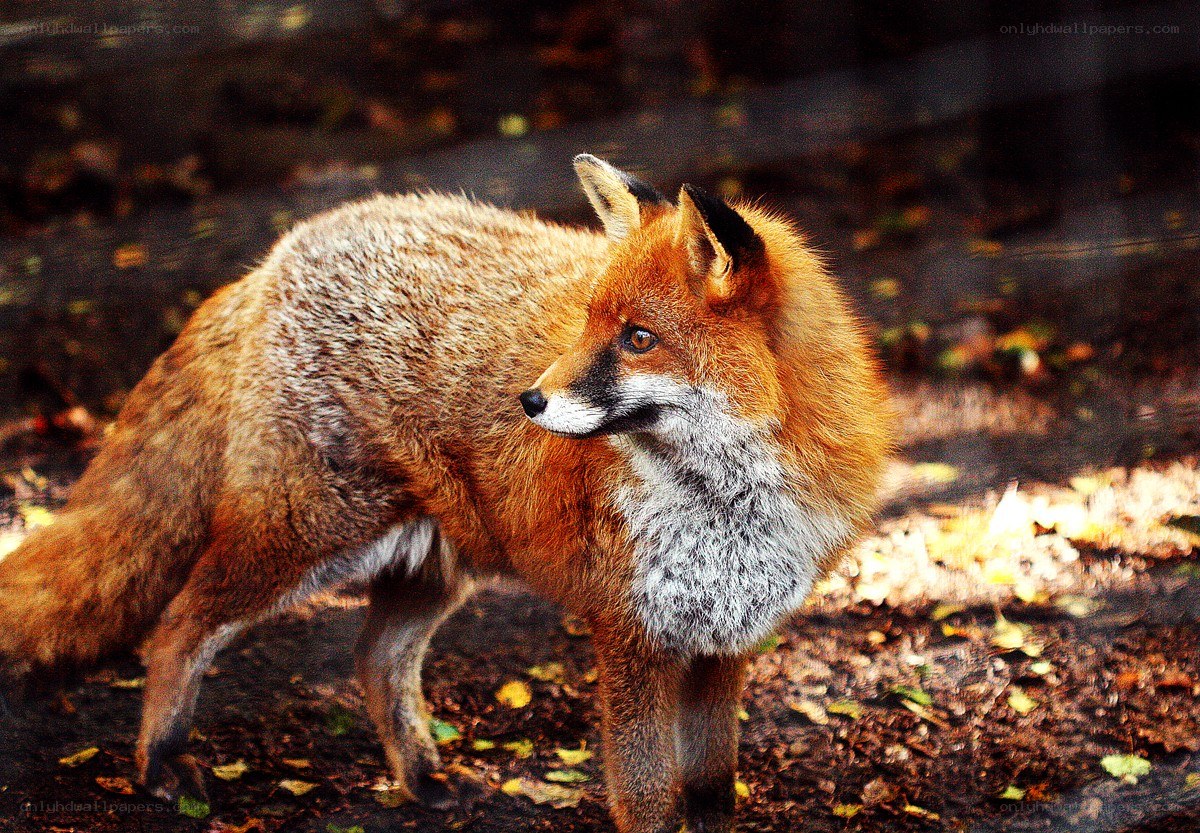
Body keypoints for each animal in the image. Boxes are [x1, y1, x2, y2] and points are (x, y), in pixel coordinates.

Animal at [0, 155, 890, 832]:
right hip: (305, 536)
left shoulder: (725, 640)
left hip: (433, 565)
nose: (530, 401)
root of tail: (280, 252)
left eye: (638, 338)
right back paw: (161, 764)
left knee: (374, 656)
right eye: (588, 321)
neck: (730, 505)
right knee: (179, 625)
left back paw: (422, 779)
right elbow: (646, 797)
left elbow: (710, 790)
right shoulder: (631, 635)